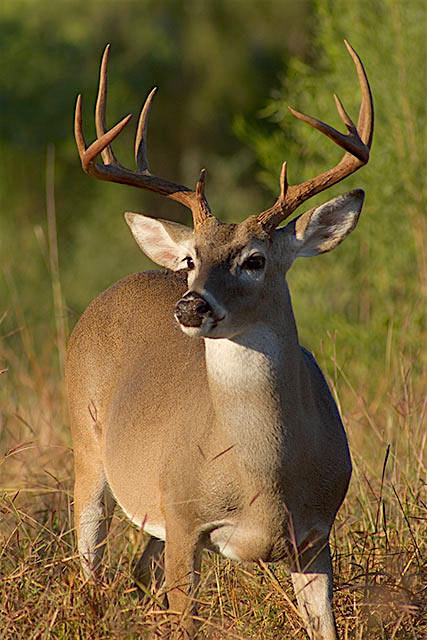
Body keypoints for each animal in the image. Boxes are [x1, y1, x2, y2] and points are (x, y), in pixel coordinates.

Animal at [67, 40, 373, 640]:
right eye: (191, 259)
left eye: (255, 259)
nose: (190, 305)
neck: (264, 479)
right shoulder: (185, 517)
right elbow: (183, 619)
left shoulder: (317, 534)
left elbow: (325, 626)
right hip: (88, 449)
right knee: (90, 569)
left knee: (136, 574)